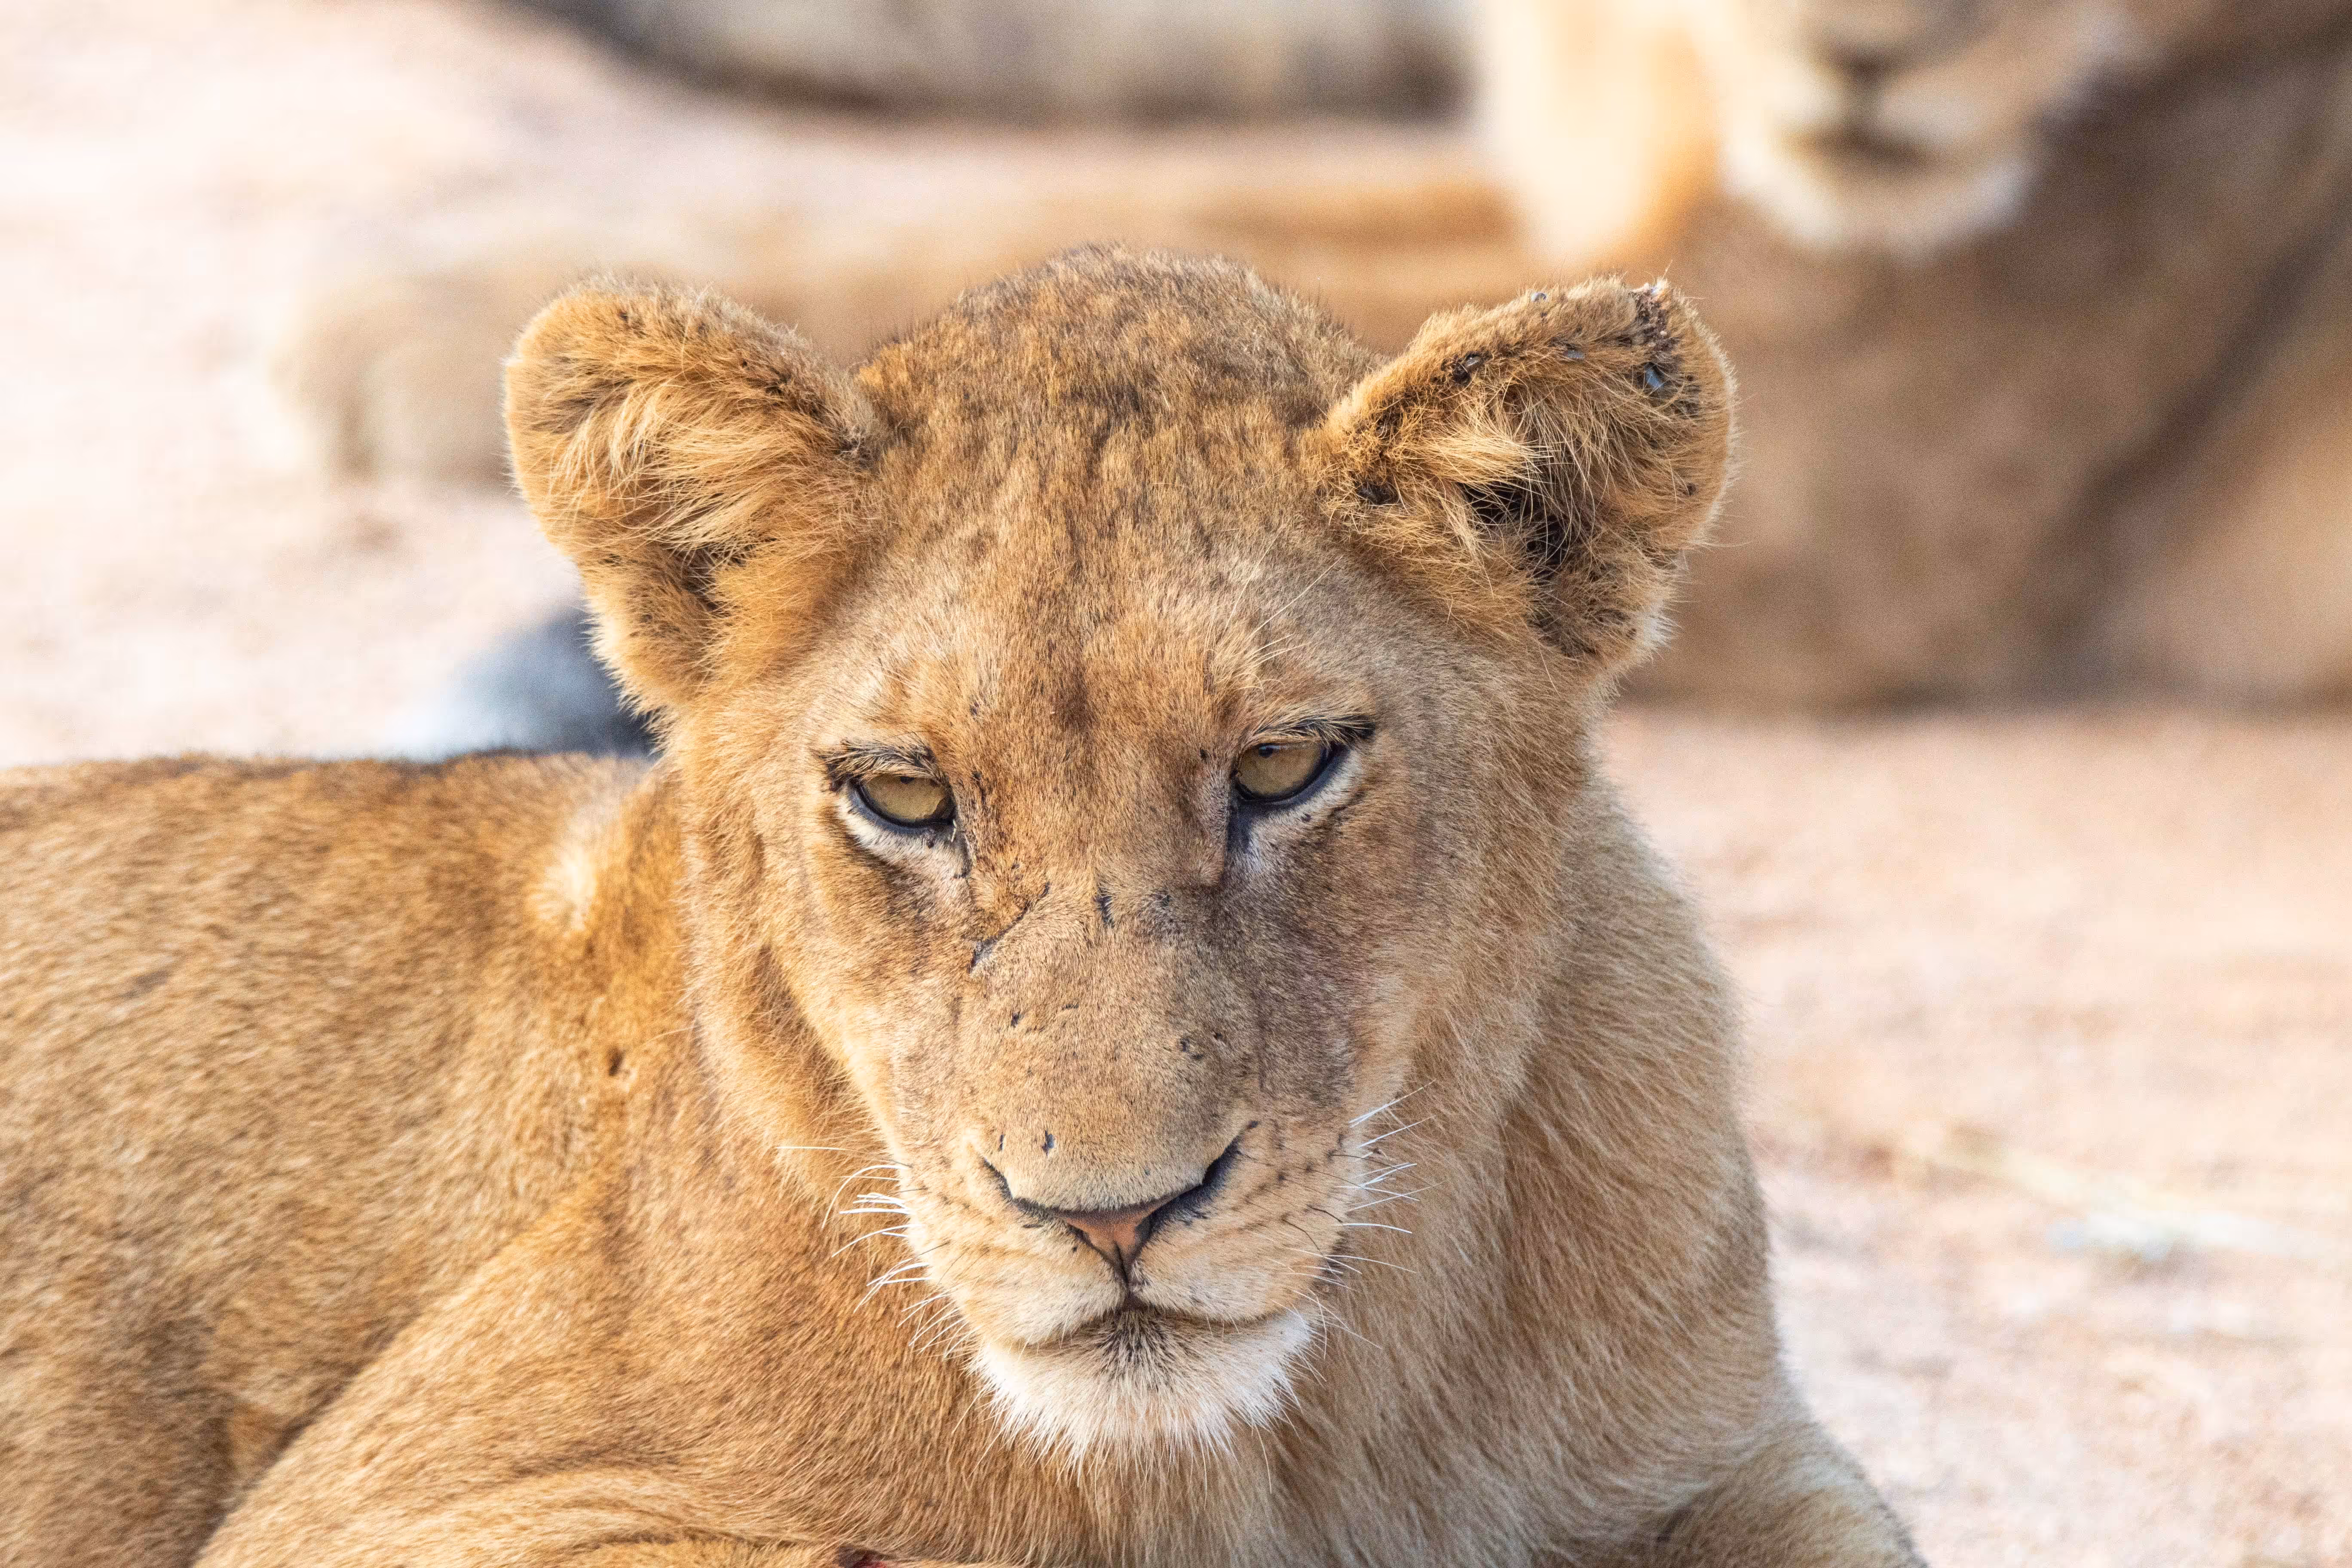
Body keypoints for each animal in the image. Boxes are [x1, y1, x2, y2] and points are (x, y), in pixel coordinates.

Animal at [1, 249, 1921, 1567]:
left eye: (1284, 765)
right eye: (907, 795)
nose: (1111, 1214)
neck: (1292, 1446)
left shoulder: (1731, 1451)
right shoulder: (396, 1506)